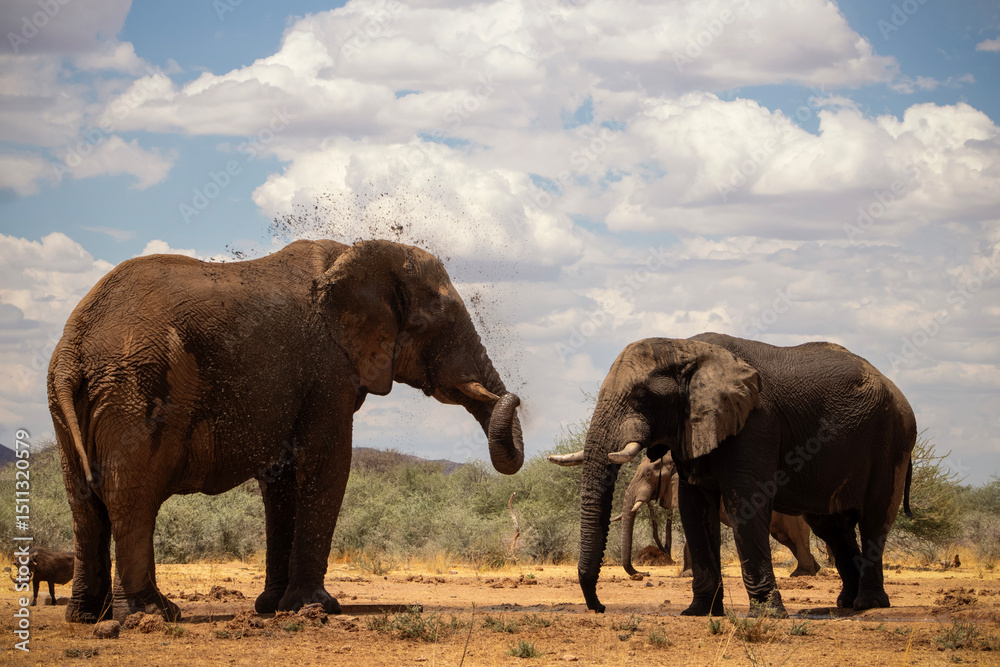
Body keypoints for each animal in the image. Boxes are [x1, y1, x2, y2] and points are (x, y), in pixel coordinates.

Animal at [47, 239, 525, 623]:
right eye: (434, 325)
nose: (514, 398)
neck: (356, 254)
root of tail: (74, 346)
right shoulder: (328, 366)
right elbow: (329, 463)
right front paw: (315, 608)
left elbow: (280, 479)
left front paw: (273, 606)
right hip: (135, 386)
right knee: (131, 497)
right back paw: (152, 615)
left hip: (72, 401)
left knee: (83, 502)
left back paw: (87, 617)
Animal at [551, 333, 915, 616]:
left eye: (641, 395)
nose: (599, 607)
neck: (685, 349)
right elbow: (694, 507)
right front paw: (698, 612)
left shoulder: (755, 422)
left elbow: (746, 503)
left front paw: (768, 614)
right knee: (832, 526)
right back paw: (845, 604)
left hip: (892, 439)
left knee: (874, 519)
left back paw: (869, 605)